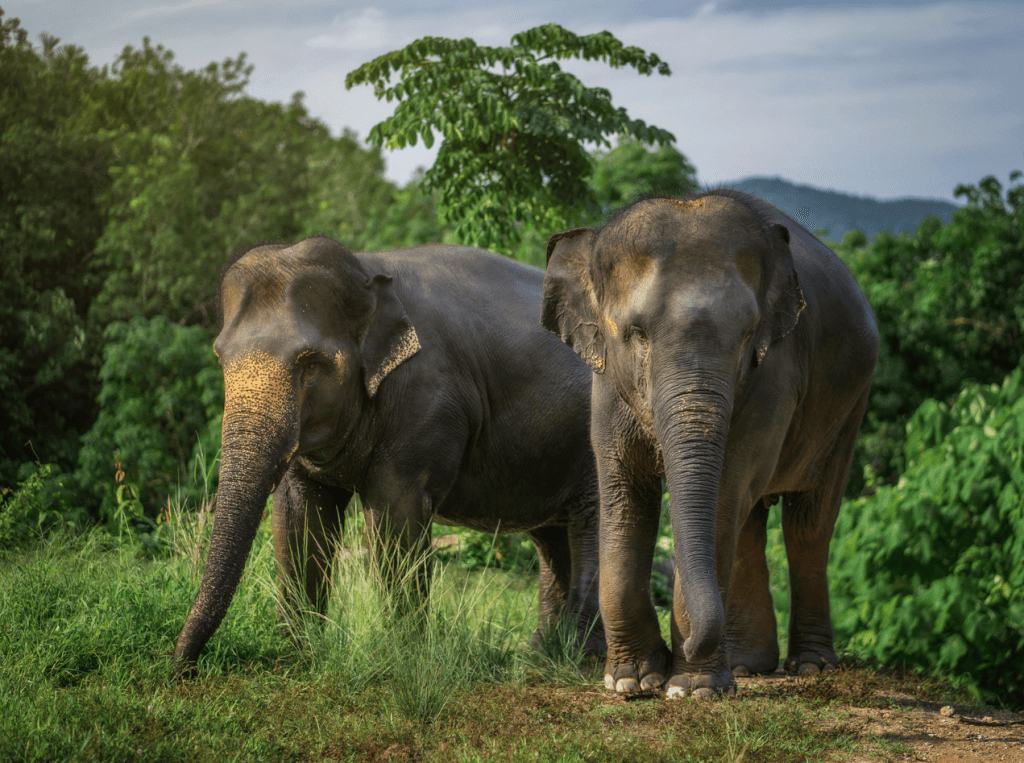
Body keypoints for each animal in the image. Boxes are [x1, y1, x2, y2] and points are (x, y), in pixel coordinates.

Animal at [173, 235, 605, 673]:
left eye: (311, 365)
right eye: (220, 358)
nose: (182, 666)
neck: (365, 270)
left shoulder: (425, 400)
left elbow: (395, 514)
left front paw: (402, 659)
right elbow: (298, 515)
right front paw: (297, 654)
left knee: (593, 524)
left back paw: (582, 658)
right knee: (552, 537)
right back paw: (542, 654)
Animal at [541, 189, 879, 698]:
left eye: (747, 335)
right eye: (636, 333)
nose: (678, 646)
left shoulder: (774, 373)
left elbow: (723, 495)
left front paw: (692, 688)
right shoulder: (606, 384)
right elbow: (624, 492)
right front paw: (631, 682)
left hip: (850, 408)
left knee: (807, 524)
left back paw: (810, 666)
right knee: (752, 521)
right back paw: (746, 664)